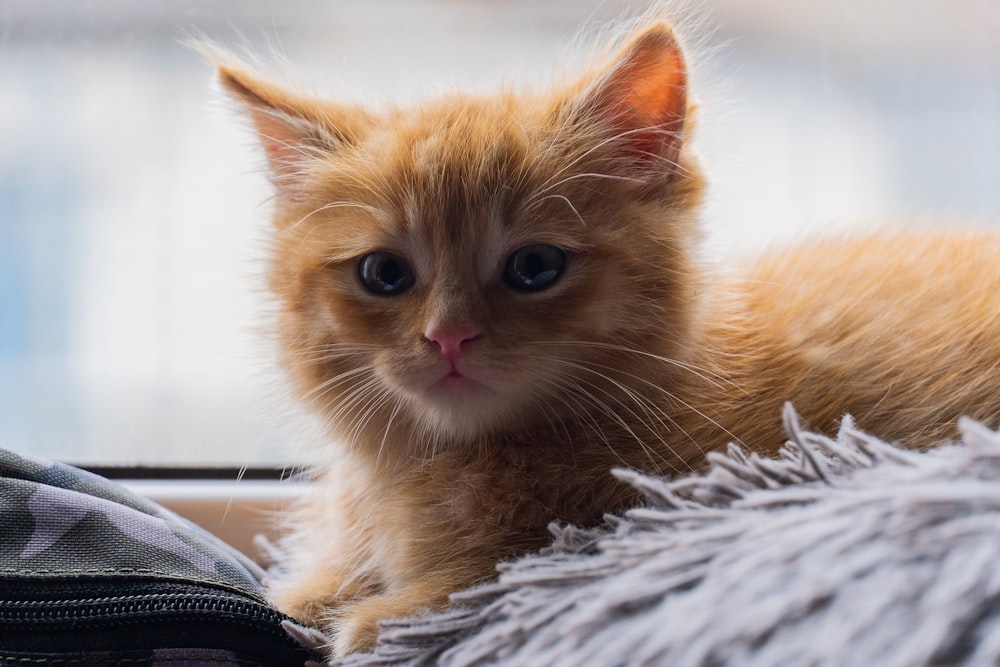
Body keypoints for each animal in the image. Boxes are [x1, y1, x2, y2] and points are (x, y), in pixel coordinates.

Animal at [215, 15, 1000, 656]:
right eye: (383, 273)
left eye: (534, 267)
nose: (449, 337)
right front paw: (317, 590)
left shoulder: (653, 504)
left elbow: (498, 569)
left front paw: (380, 615)